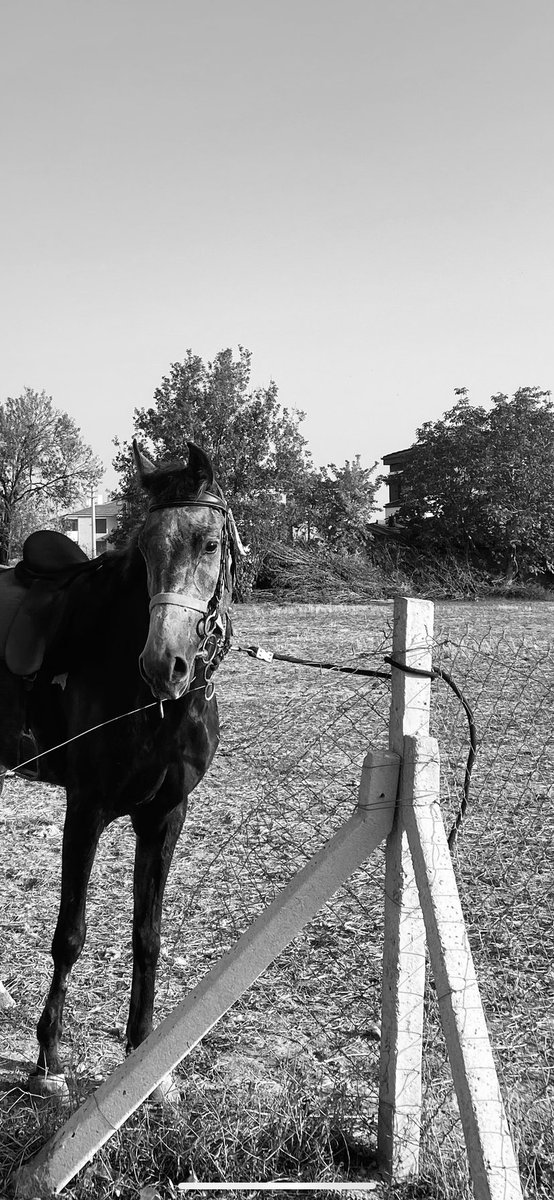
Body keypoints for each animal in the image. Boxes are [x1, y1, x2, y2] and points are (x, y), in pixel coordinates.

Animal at [0, 441, 244, 1099]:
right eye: (146, 547)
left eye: (209, 543)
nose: (166, 664)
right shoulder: (85, 808)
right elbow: (70, 934)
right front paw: (47, 1062)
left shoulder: (163, 816)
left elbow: (147, 936)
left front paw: (145, 1065)